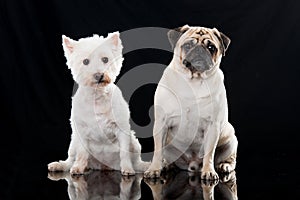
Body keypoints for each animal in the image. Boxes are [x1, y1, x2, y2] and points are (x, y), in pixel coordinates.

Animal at [47, 31, 149, 175]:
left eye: (105, 59)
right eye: (85, 61)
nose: (99, 75)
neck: (97, 97)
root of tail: (102, 166)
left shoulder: (122, 128)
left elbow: (124, 152)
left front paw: (128, 169)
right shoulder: (81, 131)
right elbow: (82, 153)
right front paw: (78, 168)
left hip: (134, 143)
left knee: (136, 161)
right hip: (73, 142)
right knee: (70, 158)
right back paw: (60, 165)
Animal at [144, 24, 238, 180]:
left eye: (211, 47)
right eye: (188, 45)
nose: (200, 50)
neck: (193, 80)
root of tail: (192, 164)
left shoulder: (213, 126)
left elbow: (209, 154)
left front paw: (209, 171)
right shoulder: (162, 123)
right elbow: (157, 150)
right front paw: (154, 169)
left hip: (231, 138)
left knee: (230, 158)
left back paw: (224, 166)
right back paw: (166, 165)